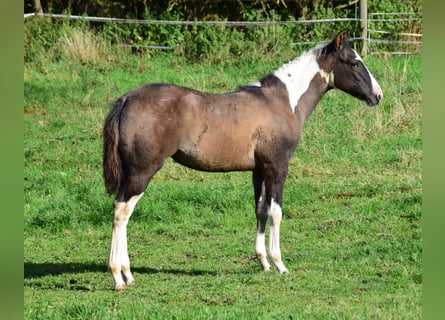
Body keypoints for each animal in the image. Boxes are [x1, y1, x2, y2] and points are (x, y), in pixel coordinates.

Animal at [102, 30, 380, 290]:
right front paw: (279, 264)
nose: (378, 95)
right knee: (122, 210)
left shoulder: (260, 170)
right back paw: (119, 276)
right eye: (354, 63)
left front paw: (263, 262)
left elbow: (260, 210)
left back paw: (128, 275)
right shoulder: (278, 167)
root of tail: (126, 99)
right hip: (142, 172)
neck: (283, 102)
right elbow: (276, 212)